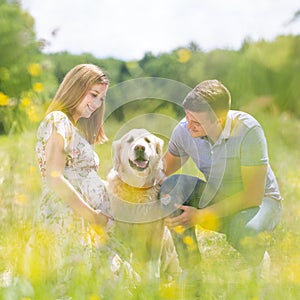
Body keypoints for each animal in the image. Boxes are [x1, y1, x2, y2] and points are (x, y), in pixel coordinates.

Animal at [106, 127, 179, 280]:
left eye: (147, 140)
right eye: (129, 140)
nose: (140, 147)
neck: (137, 187)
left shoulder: (157, 231)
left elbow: (154, 262)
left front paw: (152, 280)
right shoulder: (122, 229)